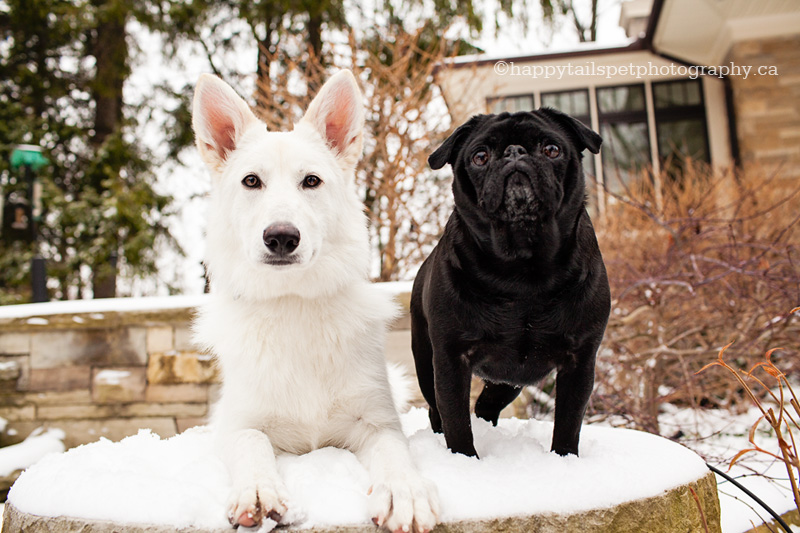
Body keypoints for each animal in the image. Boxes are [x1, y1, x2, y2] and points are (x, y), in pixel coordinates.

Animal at [189, 71, 438, 532]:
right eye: (251, 181)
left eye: (311, 181)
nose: (281, 237)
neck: (293, 305)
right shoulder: (239, 425)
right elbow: (251, 441)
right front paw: (258, 490)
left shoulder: (378, 423)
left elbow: (394, 452)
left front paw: (404, 491)